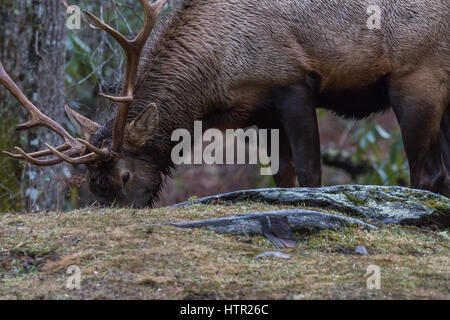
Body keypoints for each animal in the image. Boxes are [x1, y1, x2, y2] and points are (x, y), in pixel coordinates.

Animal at [0, 0, 448, 208]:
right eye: (94, 186)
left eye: (123, 177)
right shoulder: (262, 110)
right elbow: (283, 177)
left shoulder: (293, 82)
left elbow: (310, 172)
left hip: (417, 77)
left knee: (429, 173)